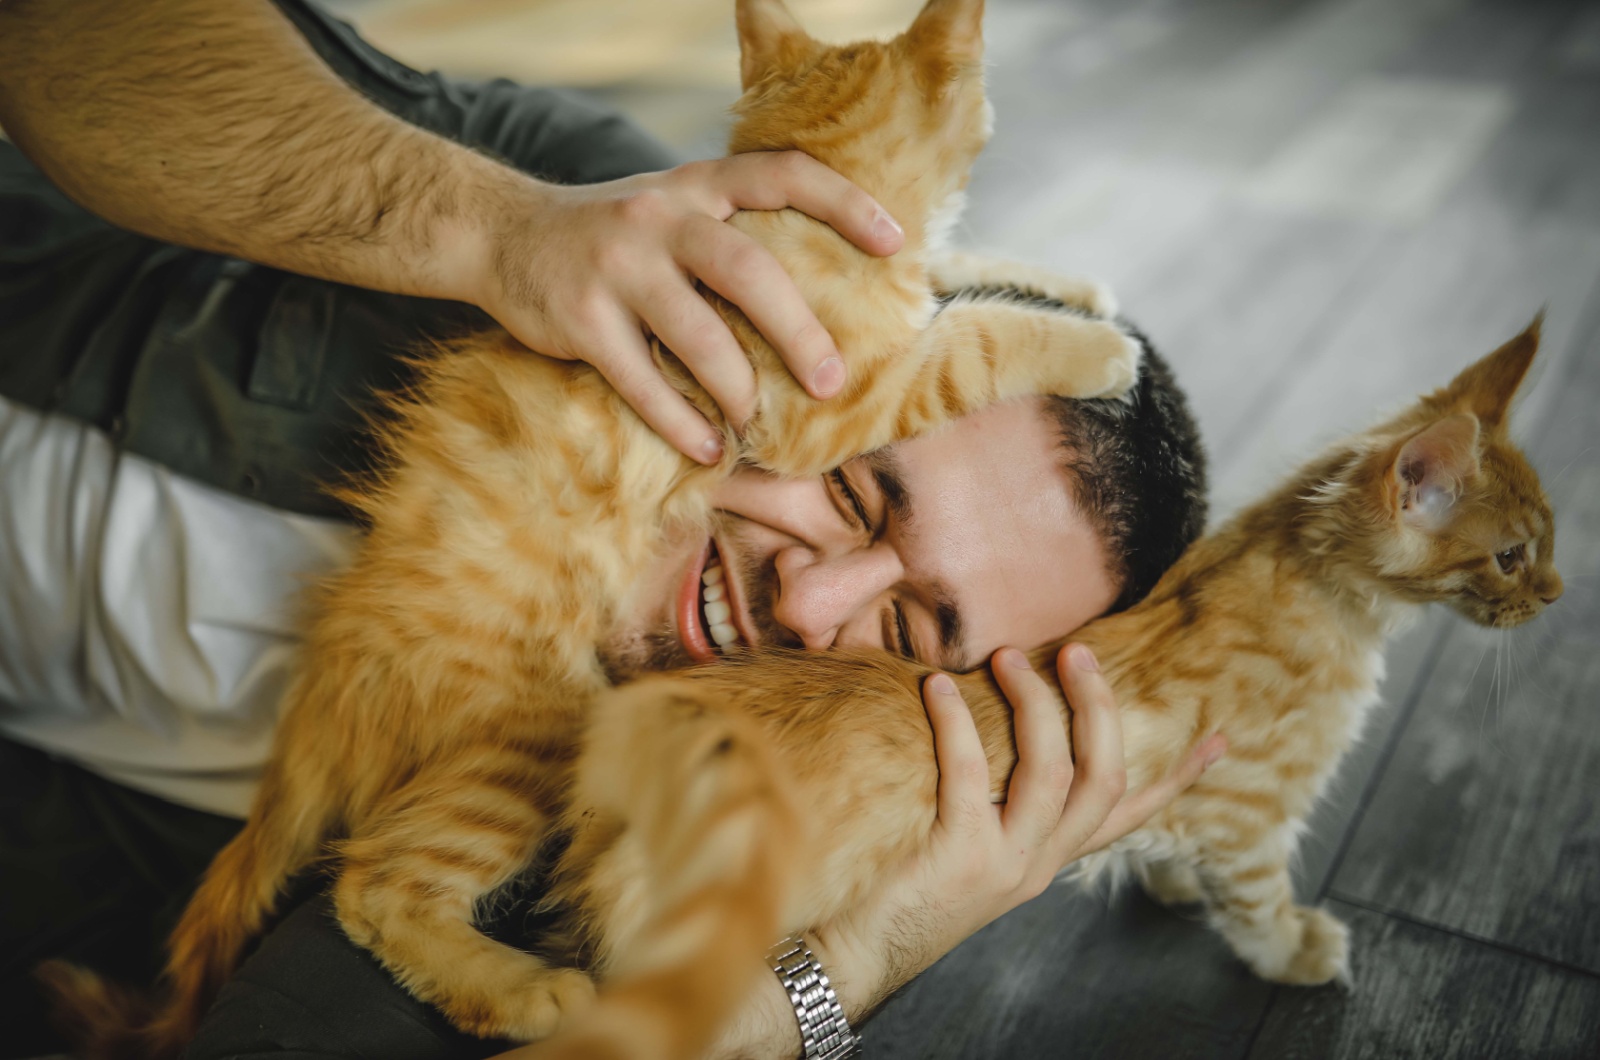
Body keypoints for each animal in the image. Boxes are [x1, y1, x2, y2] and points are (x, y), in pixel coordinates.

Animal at [528, 317, 1561, 1060]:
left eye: (1549, 538)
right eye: (1511, 557)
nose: (1555, 593)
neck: (1309, 583)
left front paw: (1167, 880)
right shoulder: (1251, 807)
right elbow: (1256, 899)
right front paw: (1293, 952)